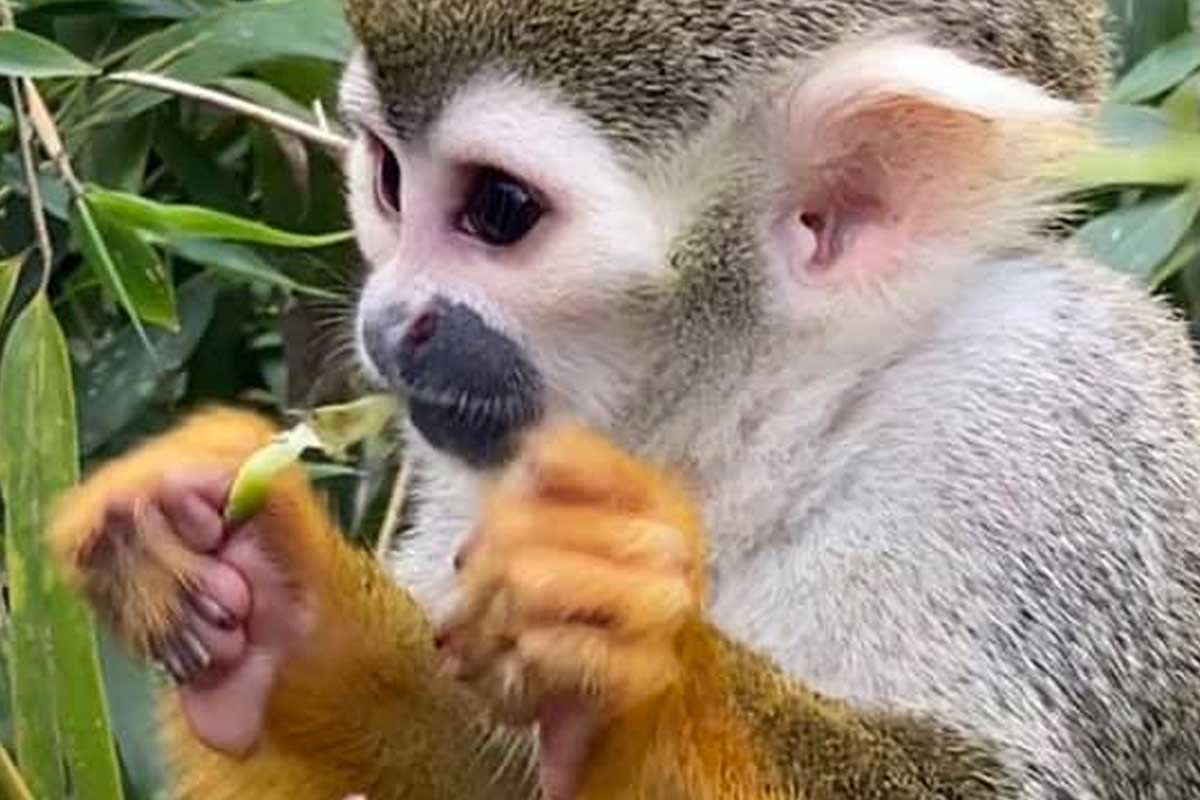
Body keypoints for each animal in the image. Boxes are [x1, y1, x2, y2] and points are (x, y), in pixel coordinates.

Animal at [46, 0, 1200, 797]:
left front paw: (637, 641)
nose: (387, 320)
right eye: (386, 179)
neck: (768, 416)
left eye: (498, 210)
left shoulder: (1034, 432)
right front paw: (284, 603)